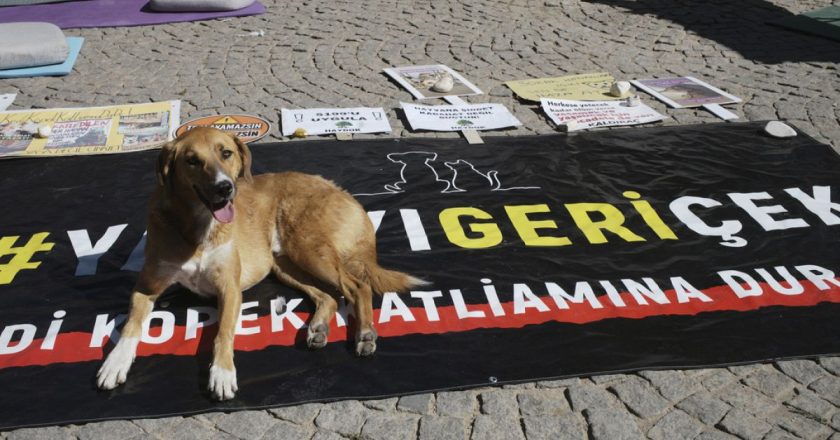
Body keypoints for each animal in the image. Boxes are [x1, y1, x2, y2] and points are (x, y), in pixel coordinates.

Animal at [97, 126, 426, 398]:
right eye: (191, 160)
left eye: (226, 153)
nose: (225, 188)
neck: (198, 228)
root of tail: (341, 190)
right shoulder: (147, 287)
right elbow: (131, 325)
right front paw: (115, 362)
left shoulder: (229, 289)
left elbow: (222, 333)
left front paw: (222, 373)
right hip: (285, 264)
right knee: (329, 296)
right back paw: (319, 327)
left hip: (309, 249)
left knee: (357, 286)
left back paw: (365, 333)